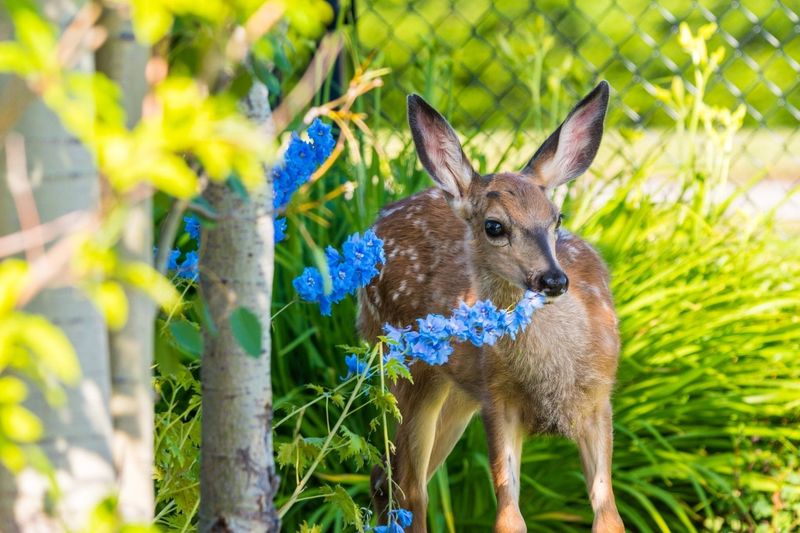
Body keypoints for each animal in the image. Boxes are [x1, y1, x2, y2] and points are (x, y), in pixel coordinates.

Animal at [357, 81, 623, 533]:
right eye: (494, 226)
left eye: (557, 218)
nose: (554, 280)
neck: (554, 376)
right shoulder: (499, 402)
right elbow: (508, 516)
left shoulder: (597, 400)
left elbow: (608, 516)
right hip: (402, 366)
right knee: (409, 488)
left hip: (457, 393)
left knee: (386, 479)